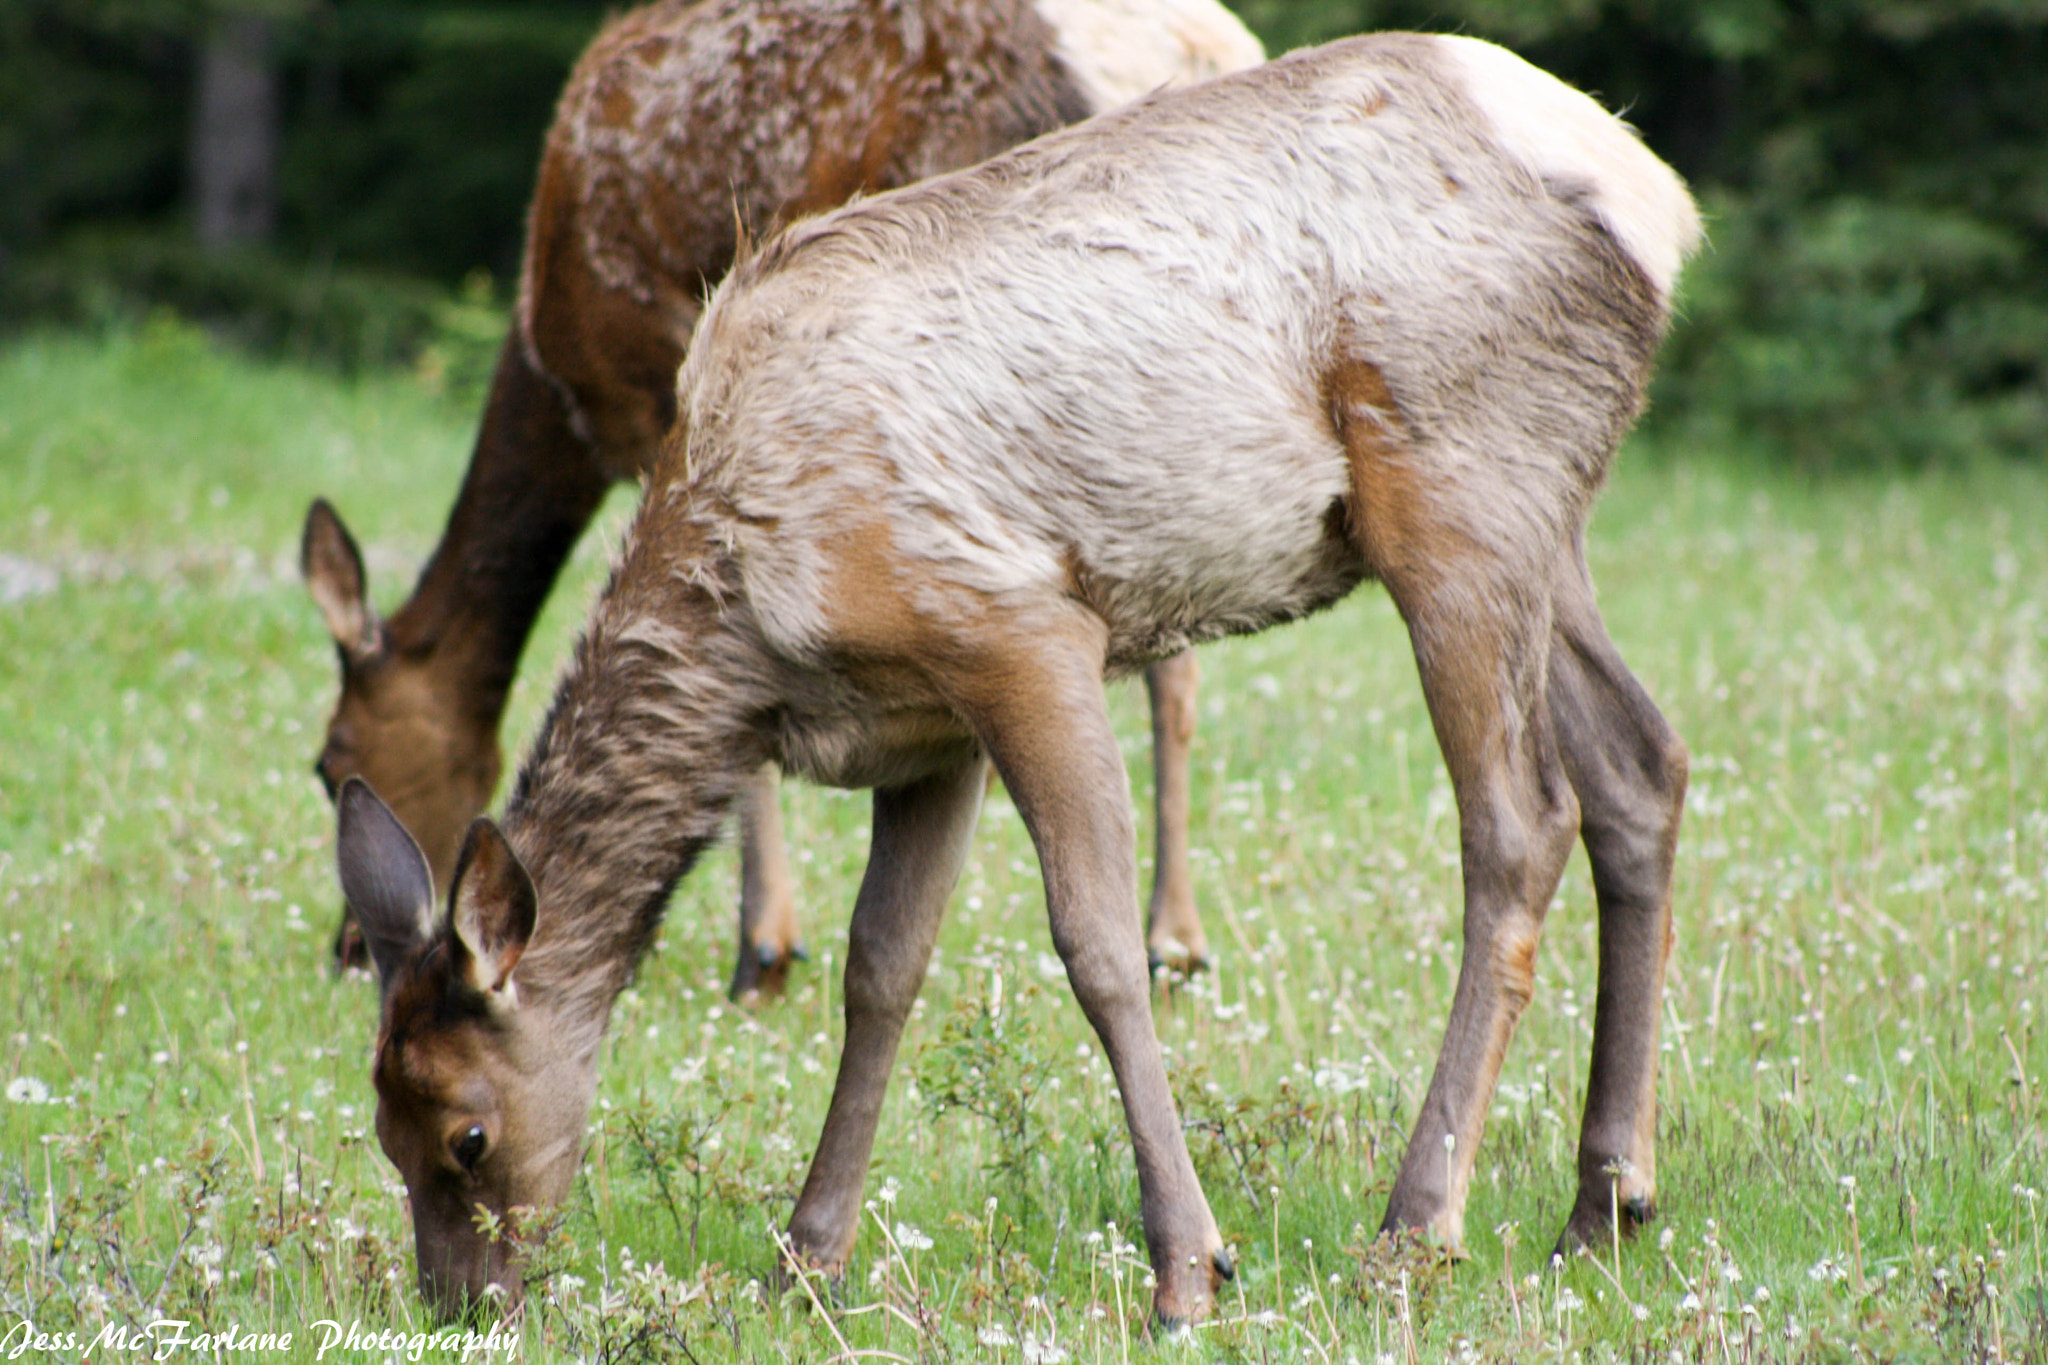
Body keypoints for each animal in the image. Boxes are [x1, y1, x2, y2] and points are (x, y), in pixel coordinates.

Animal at [299, 0, 1260, 999]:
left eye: (331, 762)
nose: (349, 949)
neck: (553, 374)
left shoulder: (668, 399)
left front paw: (763, 943)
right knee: (1175, 664)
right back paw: (1176, 941)